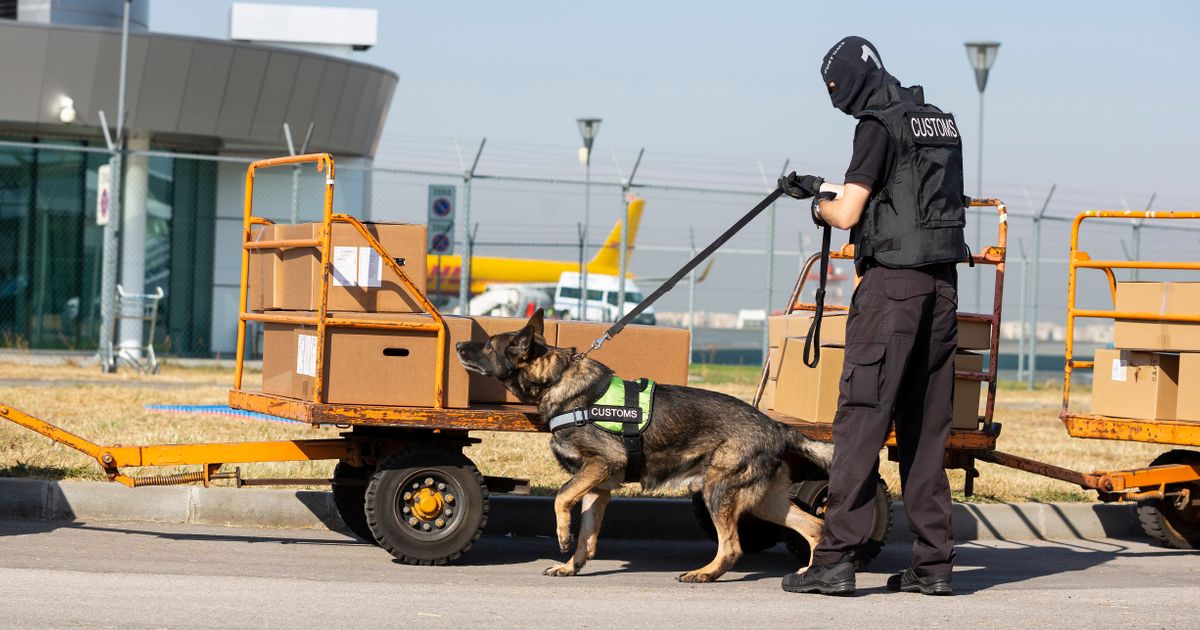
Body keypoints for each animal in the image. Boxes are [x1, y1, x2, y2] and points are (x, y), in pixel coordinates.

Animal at [453, 309, 830, 580]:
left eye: (489, 345)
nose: (457, 345)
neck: (557, 380)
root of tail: (776, 426)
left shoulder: (601, 464)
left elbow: (561, 497)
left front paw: (561, 536)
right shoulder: (597, 487)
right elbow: (587, 534)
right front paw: (572, 566)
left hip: (718, 490)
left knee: (732, 548)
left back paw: (704, 574)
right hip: (764, 501)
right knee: (815, 527)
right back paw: (810, 571)